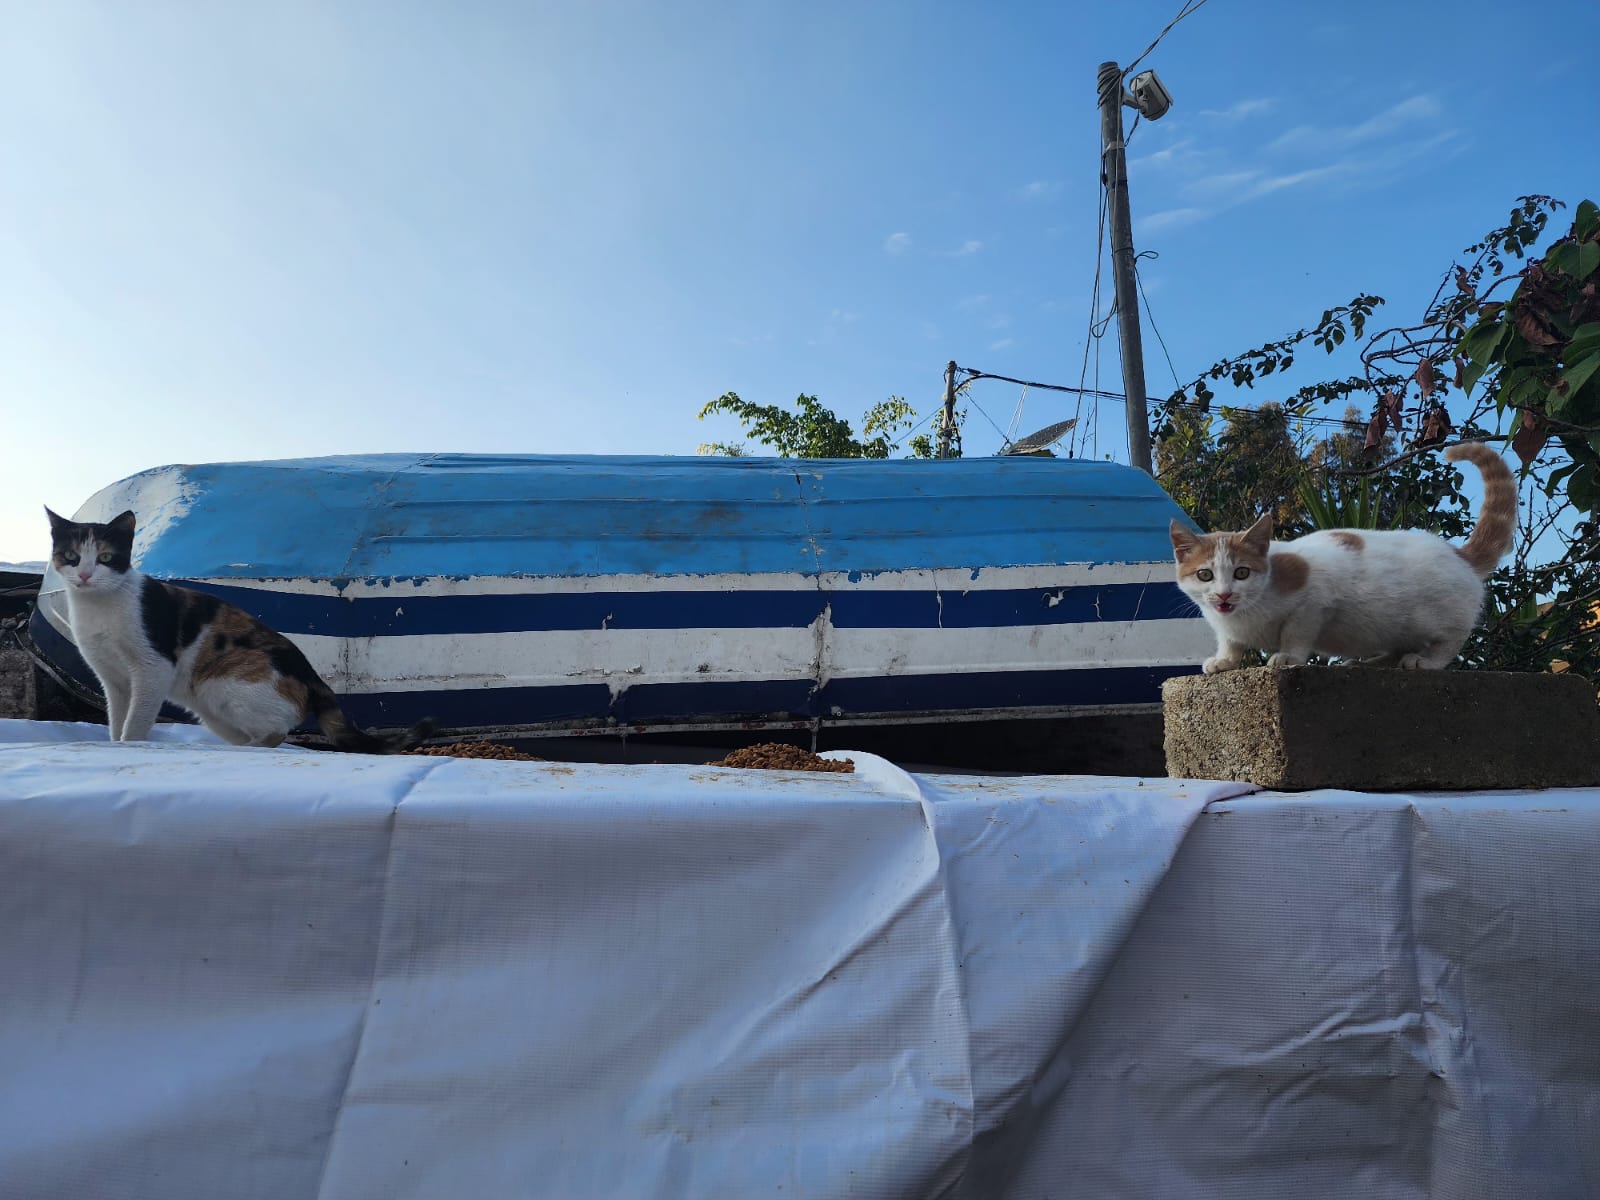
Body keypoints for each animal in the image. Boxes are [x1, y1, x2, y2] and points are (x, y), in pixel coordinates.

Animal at [45, 507, 435, 751]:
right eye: (72, 557)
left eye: (106, 558)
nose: (85, 575)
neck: (99, 607)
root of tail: (312, 675)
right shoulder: (112, 680)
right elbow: (116, 721)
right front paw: (115, 745)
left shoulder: (152, 669)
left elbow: (135, 722)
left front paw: (130, 745)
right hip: (211, 710)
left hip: (219, 684)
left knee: (278, 731)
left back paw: (247, 749)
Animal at [1168, 441, 1517, 674]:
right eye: (1204, 575)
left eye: (1242, 573)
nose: (1224, 595)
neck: (1245, 613)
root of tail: (1458, 553)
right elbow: (1230, 641)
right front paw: (1225, 659)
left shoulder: (1314, 603)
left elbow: (1296, 633)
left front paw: (1288, 657)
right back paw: (1375, 661)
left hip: (1434, 615)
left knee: (1452, 639)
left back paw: (1427, 661)